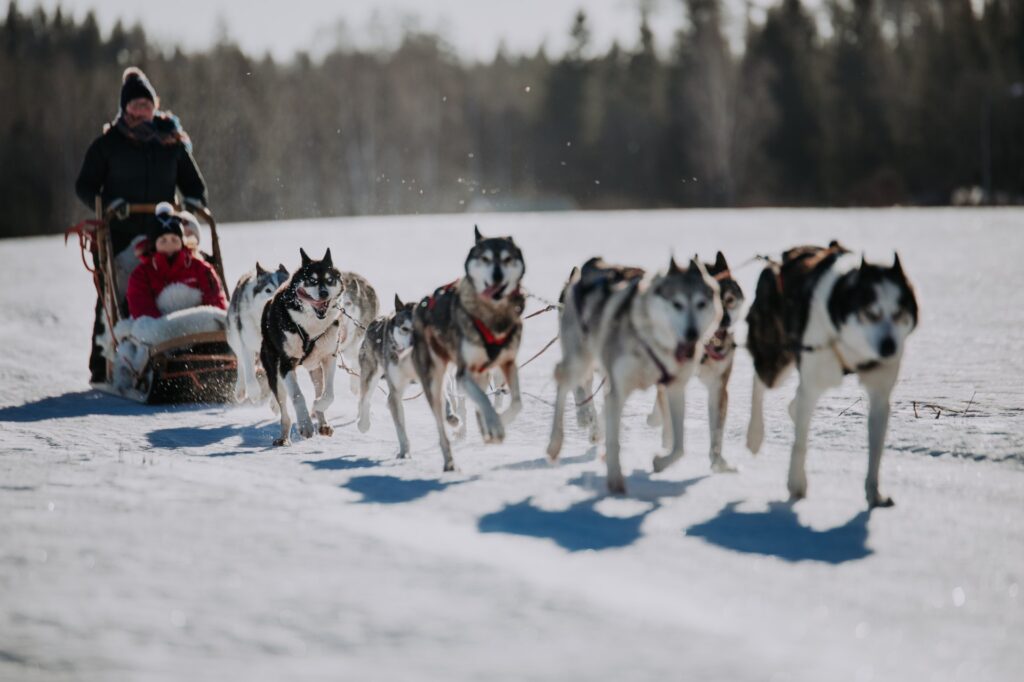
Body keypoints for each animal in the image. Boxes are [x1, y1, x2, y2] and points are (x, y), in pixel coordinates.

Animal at [409, 225, 524, 471]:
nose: (497, 276)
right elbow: (482, 401)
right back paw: (449, 460)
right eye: (485, 258)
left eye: (507, 258)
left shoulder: (508, 363)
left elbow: (516, 403)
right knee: (442, 424)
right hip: (435, 380)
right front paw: (494, 425)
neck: (492, 315)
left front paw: (494, 425)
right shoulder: (463, 374)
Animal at [745, 240, 921, 503]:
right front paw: (796, 484)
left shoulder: (880, 394)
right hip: (776, 359)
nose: (889, 347)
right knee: (760, 382)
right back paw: (755, 435)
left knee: (793, 404)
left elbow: (876, 448)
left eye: (899, 313)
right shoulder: (812, 384)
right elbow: (800, 443)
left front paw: (874, 493)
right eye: (870, 313)